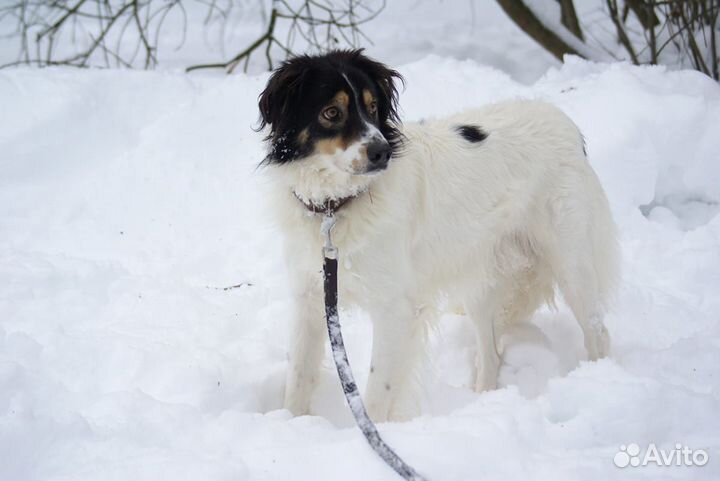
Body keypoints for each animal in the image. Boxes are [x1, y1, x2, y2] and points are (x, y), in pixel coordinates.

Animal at [258, 50, 620, 422]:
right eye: (331, 112)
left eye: (373, 108)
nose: (383, 152)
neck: (338, 205)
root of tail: (566, 124)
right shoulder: (310, 297)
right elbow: (298, 378)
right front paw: (290, 423)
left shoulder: (395, 309)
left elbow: (376, 394)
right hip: (479, 279)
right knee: (491, 353)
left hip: (571, 264)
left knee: (598, 334)